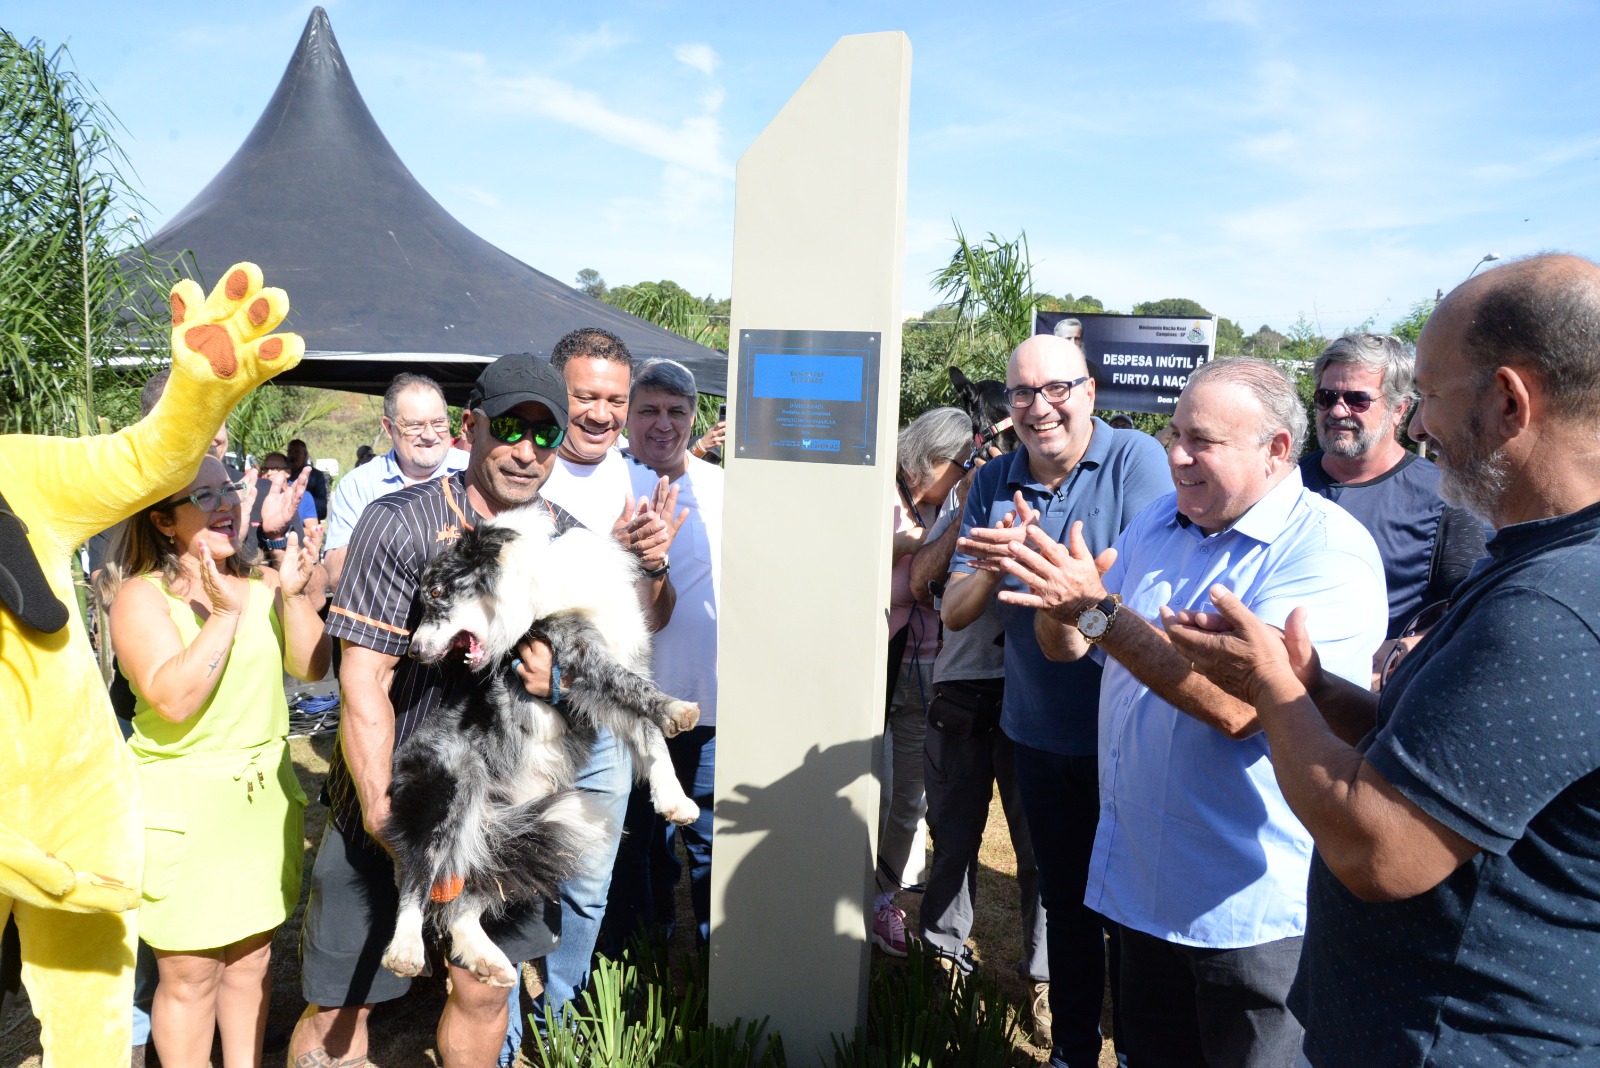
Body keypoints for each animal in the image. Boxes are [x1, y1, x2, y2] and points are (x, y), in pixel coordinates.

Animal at [380, 505, 700, 991]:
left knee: (464, 900)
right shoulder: (575, 651)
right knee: (418, 874)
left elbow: (650, 734)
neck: (539, 578)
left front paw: (675, 799)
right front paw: (676, 709)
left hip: (524, 833)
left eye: (436, 591)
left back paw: (486, 959)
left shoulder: (622, 658)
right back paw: (405, 950)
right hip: (452, 784)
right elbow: (632, 688)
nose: (414, 651)